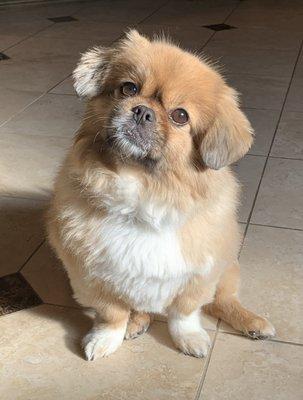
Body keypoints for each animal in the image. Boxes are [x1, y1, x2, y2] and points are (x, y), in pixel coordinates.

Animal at [47, 29, 276, 360]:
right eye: (128, 89)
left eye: (180, 115)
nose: (142, 111)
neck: (144, 191)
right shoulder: (90, 274)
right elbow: (112, 313)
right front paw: (106, 338)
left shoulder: (201, 273)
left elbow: (185, 313)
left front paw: (190, 339)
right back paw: (137, 323)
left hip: (229, 267)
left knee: (223, 301)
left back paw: (253, 323)